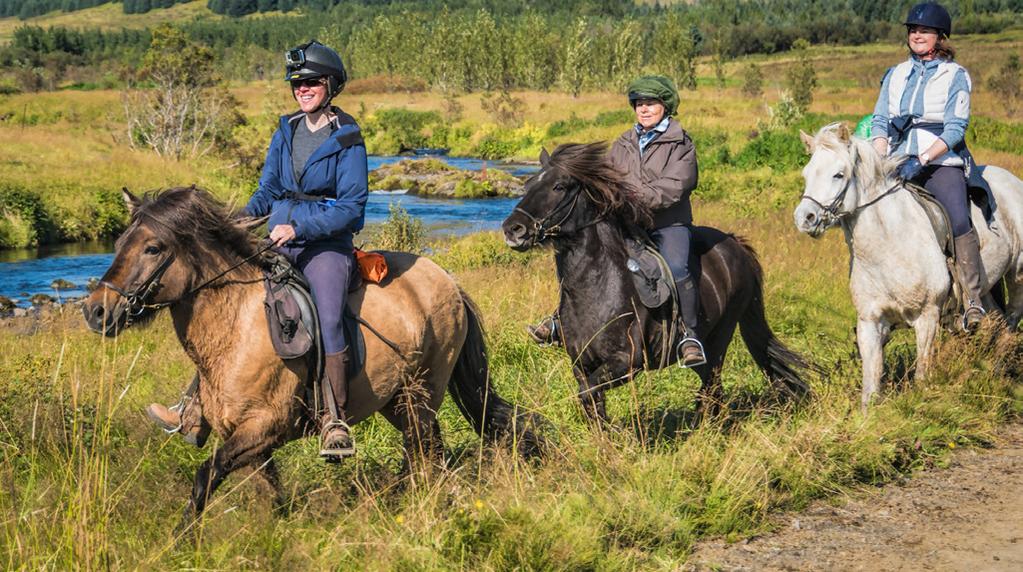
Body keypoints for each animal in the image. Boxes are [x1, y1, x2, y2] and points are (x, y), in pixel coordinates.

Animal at [83, 188, 544, 532]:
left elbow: (204, 477)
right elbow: (269, 487)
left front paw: (182, 539)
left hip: (423, 393)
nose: (96, 311)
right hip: (398, 400)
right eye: (119, 244)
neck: (236, 329)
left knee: (420, 452)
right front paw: (279, 525)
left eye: (153, 247)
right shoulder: (248, 438)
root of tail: (448, 280)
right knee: (429, 451)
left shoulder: (265, 427)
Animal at [499, 141, 810, 423]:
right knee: (711, 389)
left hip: (720, 337)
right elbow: (591, 403)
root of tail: (735, 245)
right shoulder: (581, 363)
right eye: (528, 185)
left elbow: (589, 393)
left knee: (711, 388)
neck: (596, 288)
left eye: (559, 186)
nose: (512, 229)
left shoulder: (628, 362)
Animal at [793, 123, 1023, 411]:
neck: (889, 246)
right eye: (806, 173)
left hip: (1016, 276)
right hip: (986, 288)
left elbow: (922, 376)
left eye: (838, 174)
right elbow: (871, 383)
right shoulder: (870, 322)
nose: (804, 218)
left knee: (1011, 320)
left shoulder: (927, 317)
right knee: (994, 319)